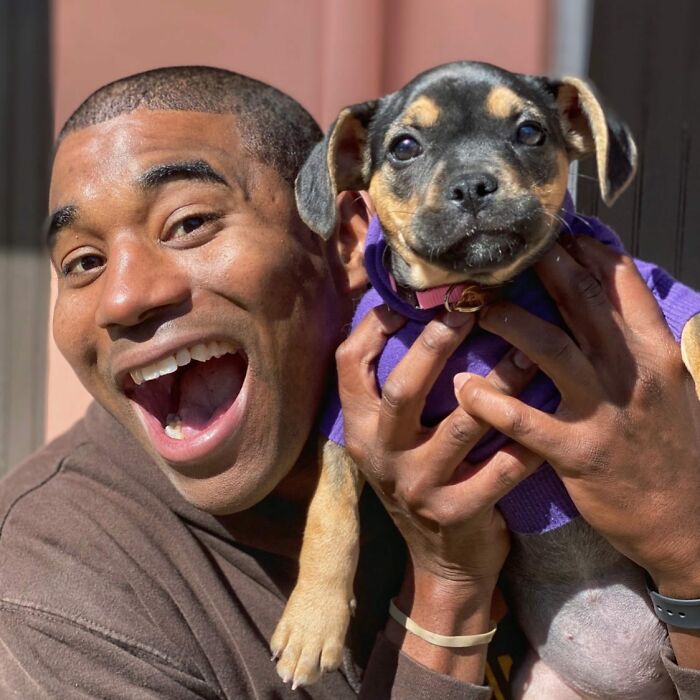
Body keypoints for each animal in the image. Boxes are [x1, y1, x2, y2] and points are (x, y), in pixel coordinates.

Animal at [270, 61, 700, 696]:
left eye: (530, 133)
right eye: (405, 147)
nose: (473, 186)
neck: (471, 298)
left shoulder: (658, 294)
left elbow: (693, 329)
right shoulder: (349, 409)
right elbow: (330, 506)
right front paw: (310, 624)